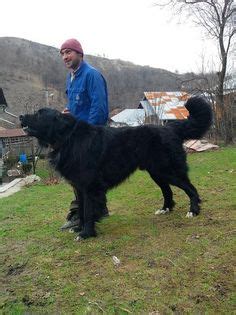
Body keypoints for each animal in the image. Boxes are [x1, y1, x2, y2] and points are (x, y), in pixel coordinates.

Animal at [19, 97, 212, 241]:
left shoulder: (90, 187)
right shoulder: (79, 187)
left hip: (168, 170)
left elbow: (88, 211)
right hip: (157, 172)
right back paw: (165, 209)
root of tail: (170, 127)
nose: (20, 116)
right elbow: (81, 210)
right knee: (168, 191)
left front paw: (86, 233)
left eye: (39, 114)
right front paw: (80, 228)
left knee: (191, 188)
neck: (67, 137)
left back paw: (193, 210)